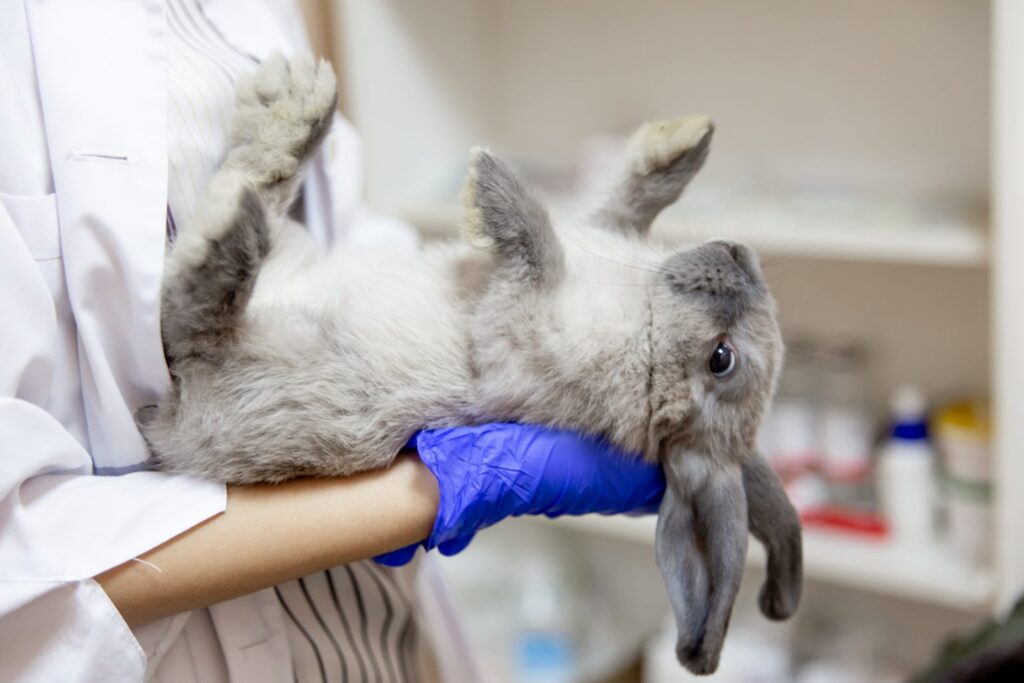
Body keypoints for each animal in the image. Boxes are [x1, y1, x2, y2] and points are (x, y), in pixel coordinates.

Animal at [142, 56, 798, 675]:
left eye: (722, 360)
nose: (740, 257)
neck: (647, 325)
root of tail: (173, 429)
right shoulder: (587, 236)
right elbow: (609, 207)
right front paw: (680, 143)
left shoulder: (515, 336)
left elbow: (538, 249)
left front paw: (494, 184)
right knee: (256, 198)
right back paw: (293, 114)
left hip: (247, 368)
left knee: (192, 320)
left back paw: (226, 230)